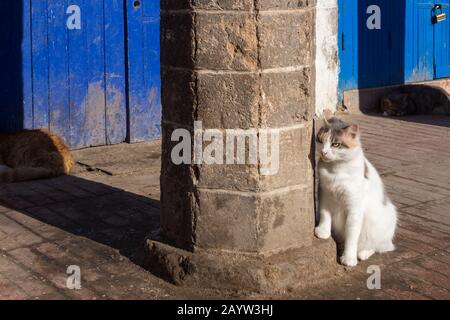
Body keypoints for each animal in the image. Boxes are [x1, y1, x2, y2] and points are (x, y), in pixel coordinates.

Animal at [314, 114, 396, 266]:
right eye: (321, 140)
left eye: (335, 144)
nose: (323, 152)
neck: (335, 170)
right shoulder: (324, 193)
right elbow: (324, 214)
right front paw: (323, 232)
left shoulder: (354, 209)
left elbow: (351, 236)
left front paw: (349, 258)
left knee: (378, 247)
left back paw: (362, 253)